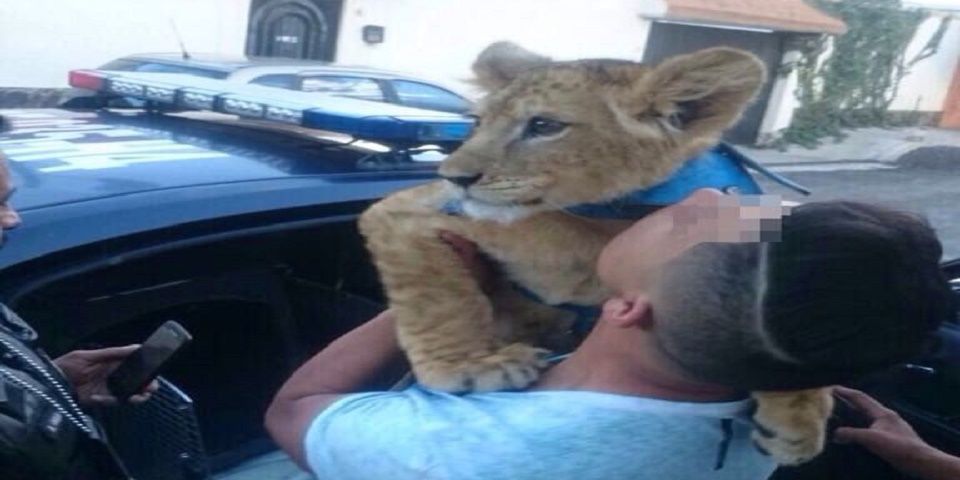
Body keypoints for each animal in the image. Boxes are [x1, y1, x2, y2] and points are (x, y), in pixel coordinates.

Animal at [357, 42, 831, 465]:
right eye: (477, 122)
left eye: (544, 125)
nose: (452, 176)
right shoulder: (410, 211)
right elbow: (437, 297)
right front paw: (470, 365)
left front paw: (800, 417)